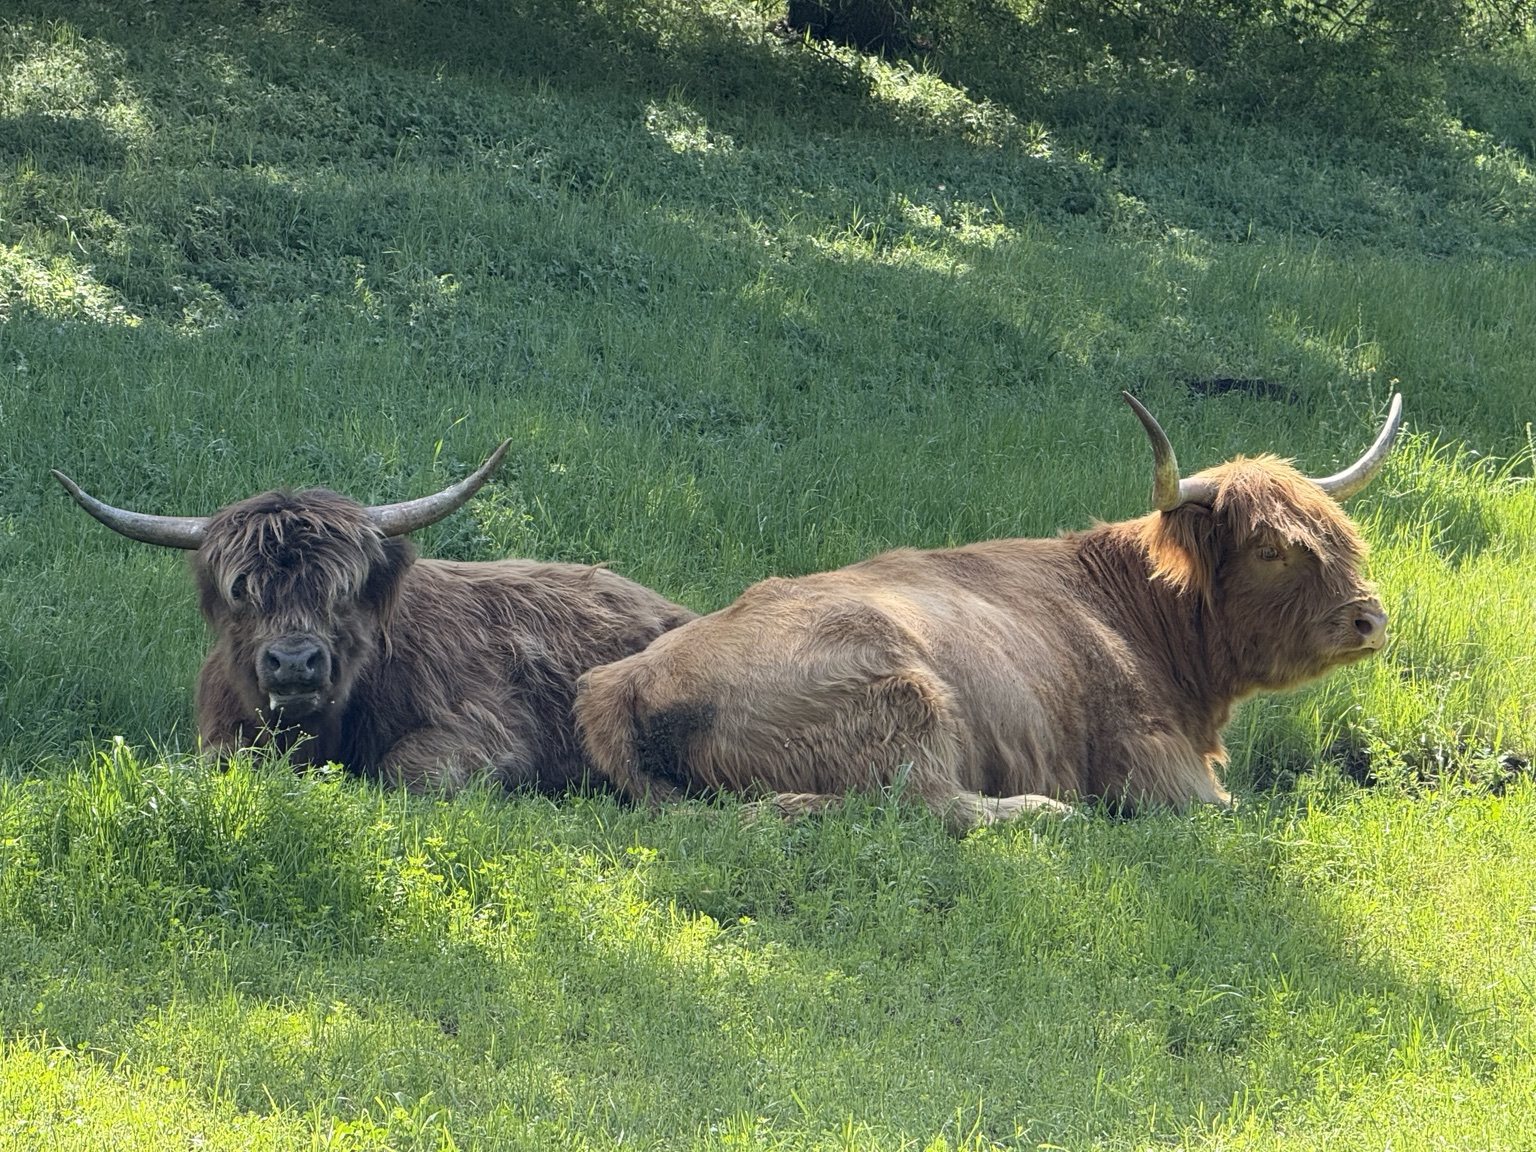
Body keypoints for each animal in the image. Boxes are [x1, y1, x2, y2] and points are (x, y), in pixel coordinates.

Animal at [576, 393, 1403, 831]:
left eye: (1340, 536)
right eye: (1271, 548)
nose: (1370, 620)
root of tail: (623, 684)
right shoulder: (1156, 766)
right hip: (908, 707)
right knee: (928, 806)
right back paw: (1045, 810)